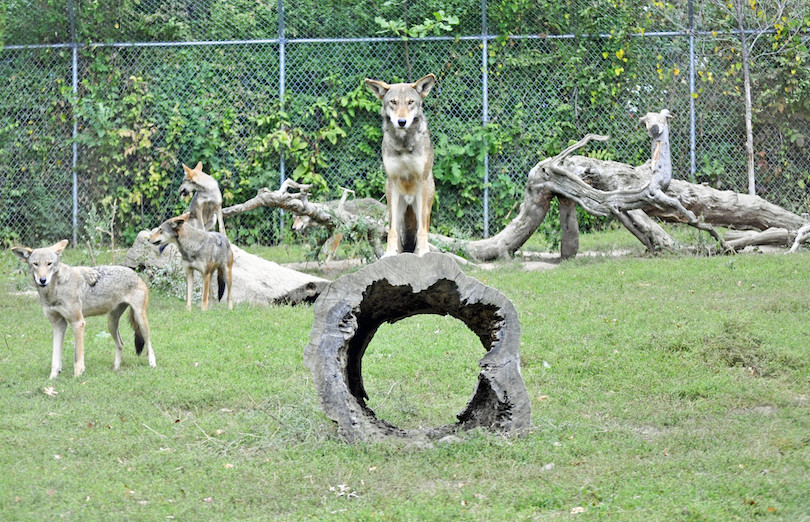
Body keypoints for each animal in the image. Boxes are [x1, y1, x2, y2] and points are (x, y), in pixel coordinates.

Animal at [11, 240, 155, 378]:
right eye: (35, 264)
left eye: (49, 264)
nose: (42, 280)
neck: (54, 291)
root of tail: (135, 273)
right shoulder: (58, 325)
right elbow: (55, 358)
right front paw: (52, 378)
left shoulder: (78, 323)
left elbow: (77, 356)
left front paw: (77, 377)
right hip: (111, 324)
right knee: (120, 344)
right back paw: (116, 369)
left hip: (140, 319)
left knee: (149, 346)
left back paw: (152, 366)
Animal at [362, 73, 432, 256]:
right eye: (393, 102)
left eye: (410, 102)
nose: (402, 121)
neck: (404, 144)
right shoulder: (392, 182)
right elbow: (391, 231)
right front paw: (389, 253)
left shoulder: (421, 182)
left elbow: (422, 230)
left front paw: (424, 252)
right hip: (397, 207)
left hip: (424, 204)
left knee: (423, 227)